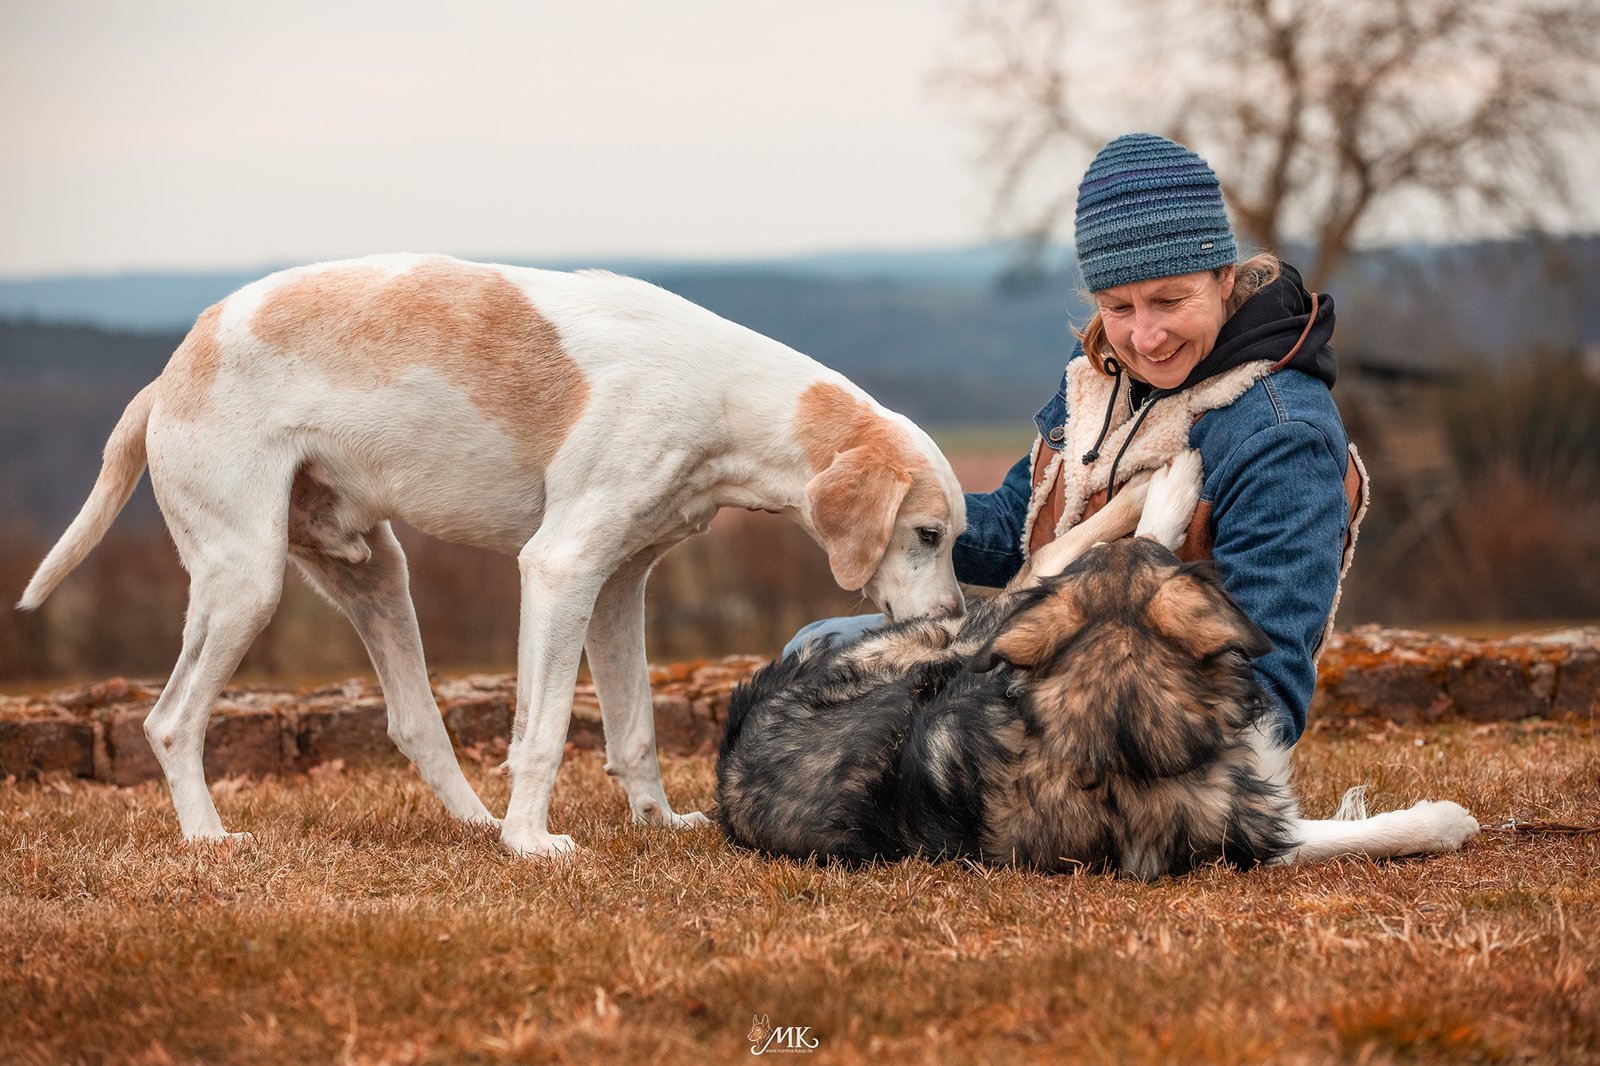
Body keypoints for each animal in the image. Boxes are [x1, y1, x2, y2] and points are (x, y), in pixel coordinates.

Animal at [18, 256, 960, 857]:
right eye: (927, 534)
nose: (955, 623)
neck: (726, 396)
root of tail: (167, 375)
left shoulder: (618, 587)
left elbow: (633, 730)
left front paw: (655, 825)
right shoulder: (561, 570)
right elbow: (544, 730)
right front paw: (533, 842)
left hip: (376, 575)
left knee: (413, 721)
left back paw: (474, 826)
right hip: (245, 584)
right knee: (171, 720)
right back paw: (211, 838)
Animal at [720, 451, 1478, 877]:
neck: (1114, 717)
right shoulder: (1244, 831)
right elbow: (1358, 836)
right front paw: (1443, 822)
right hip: (969, 633)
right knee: (1053, 557)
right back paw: (1166, 480)